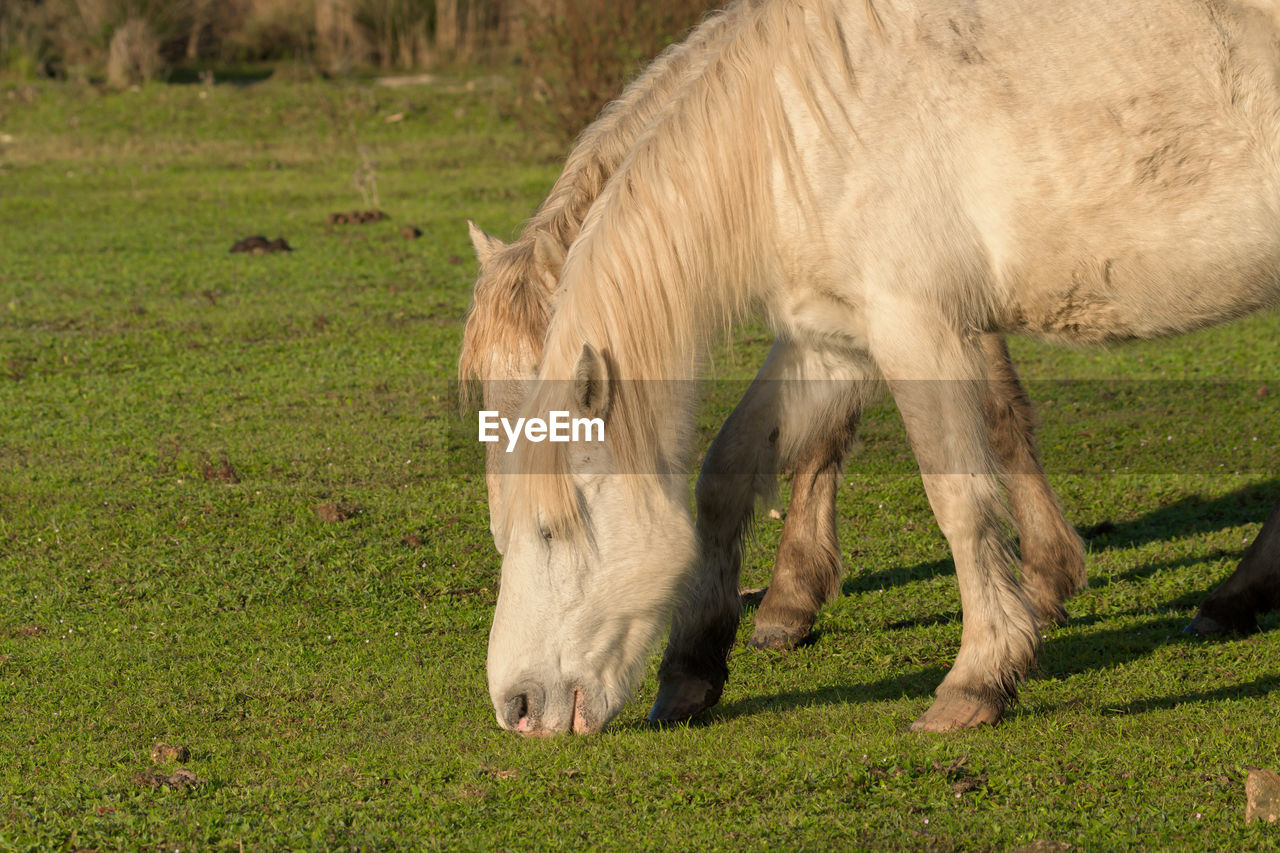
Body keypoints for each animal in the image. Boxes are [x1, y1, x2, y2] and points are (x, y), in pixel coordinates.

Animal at [483, 0, 1280, 732]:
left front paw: (979, 678)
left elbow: (959, 496)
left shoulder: (918, 329)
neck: (800, 130)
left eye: (552, 531)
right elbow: (729, 473)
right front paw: (691, 671)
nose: (516, 706)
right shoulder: (833, 342)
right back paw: (1235, 599)